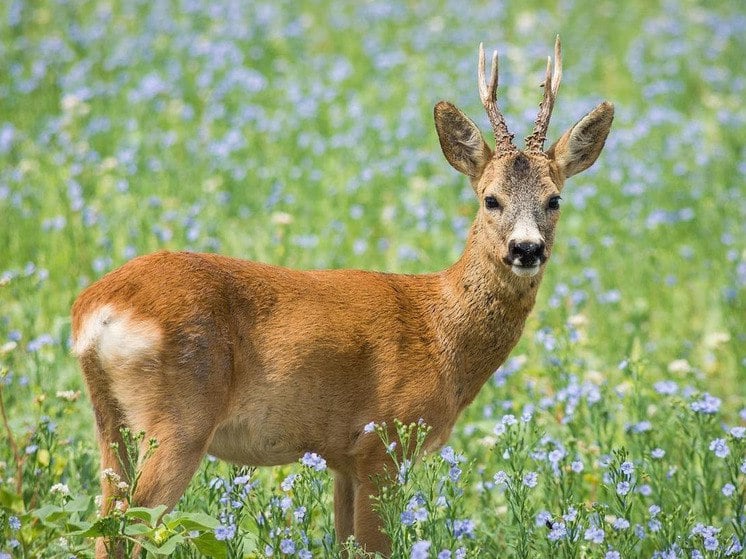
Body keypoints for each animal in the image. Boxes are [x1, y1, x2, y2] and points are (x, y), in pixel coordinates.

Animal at [72, 37, 612, 556]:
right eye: (490, 198)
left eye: (554, 199)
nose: (526, 248)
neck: (441, 332)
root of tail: (97, 310)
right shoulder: (383, 441)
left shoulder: (342, 458)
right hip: (179, 418)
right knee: (131, 527)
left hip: (112, 420)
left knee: (106, 522)